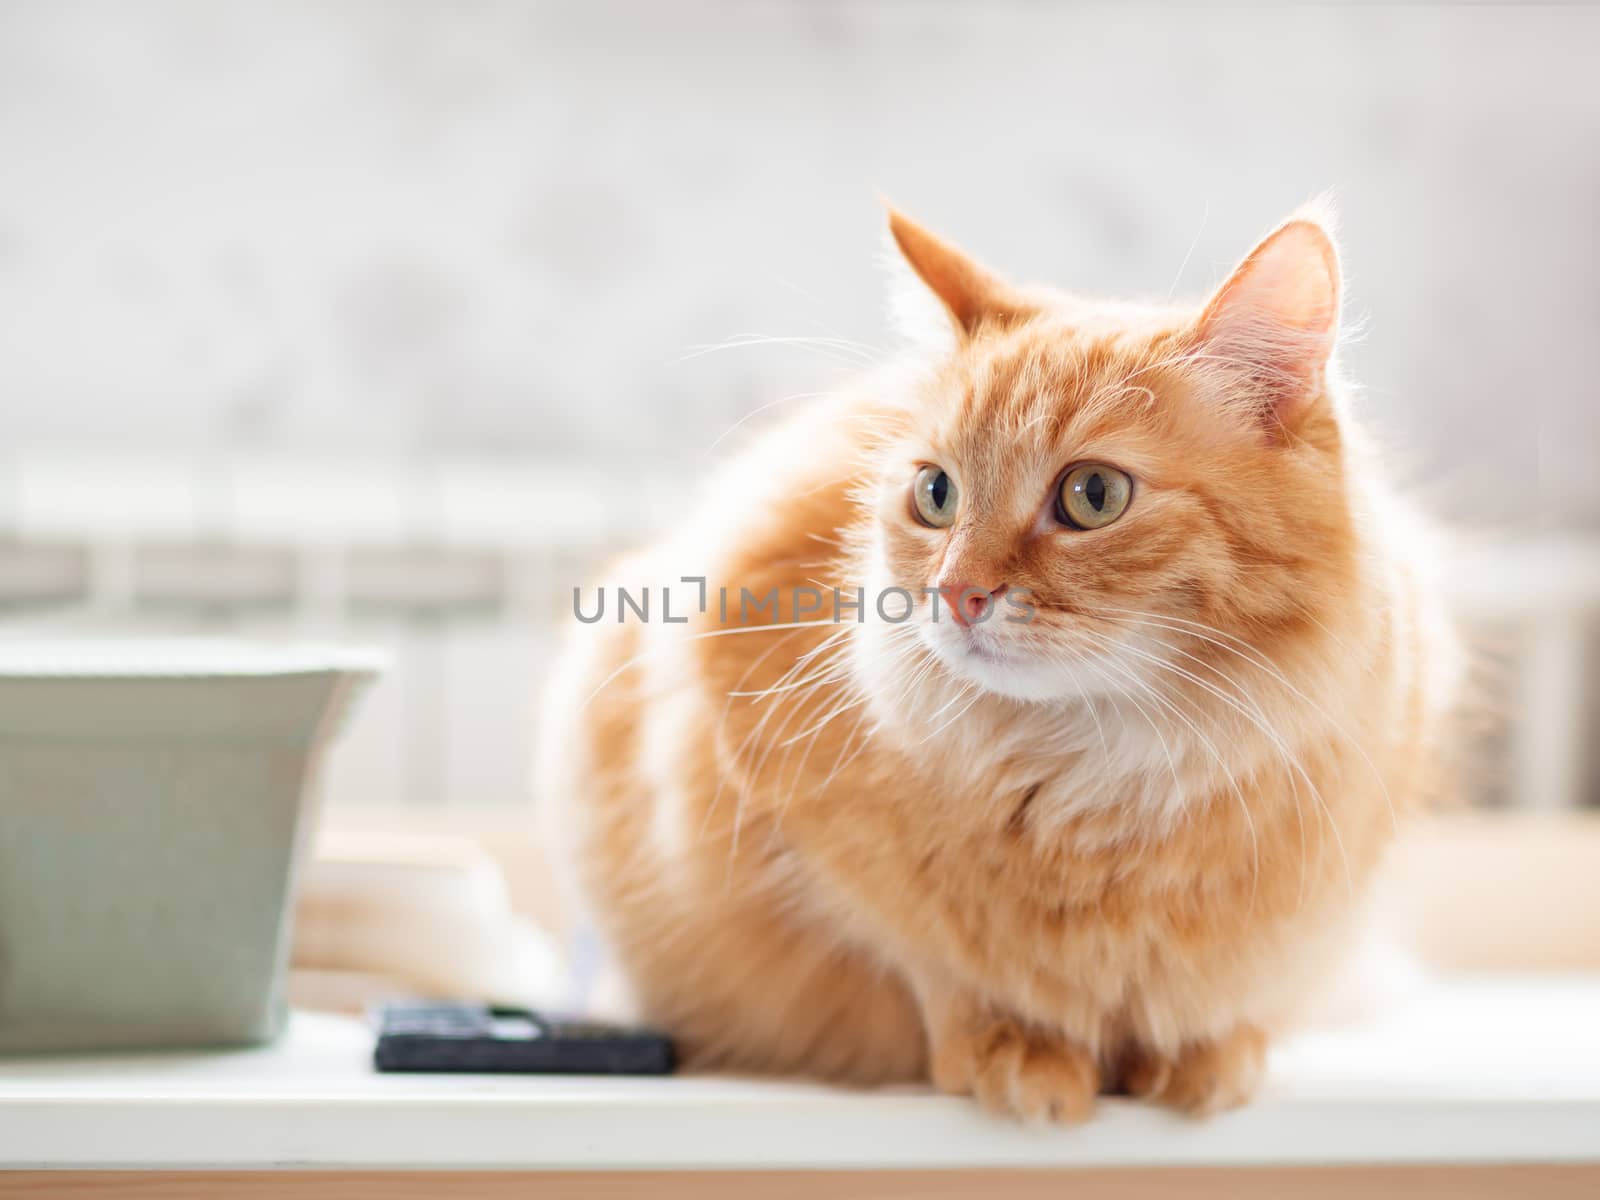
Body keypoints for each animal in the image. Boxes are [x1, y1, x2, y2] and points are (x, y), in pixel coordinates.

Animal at [540, 202, 1465, 1126]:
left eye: (1094, 496)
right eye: (936, 494)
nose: (956, 592)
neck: (1098, 777)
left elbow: (1215, 1005)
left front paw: (1200, 1056)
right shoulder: (800, 835)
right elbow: (938, 969)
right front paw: (1017, 1049)